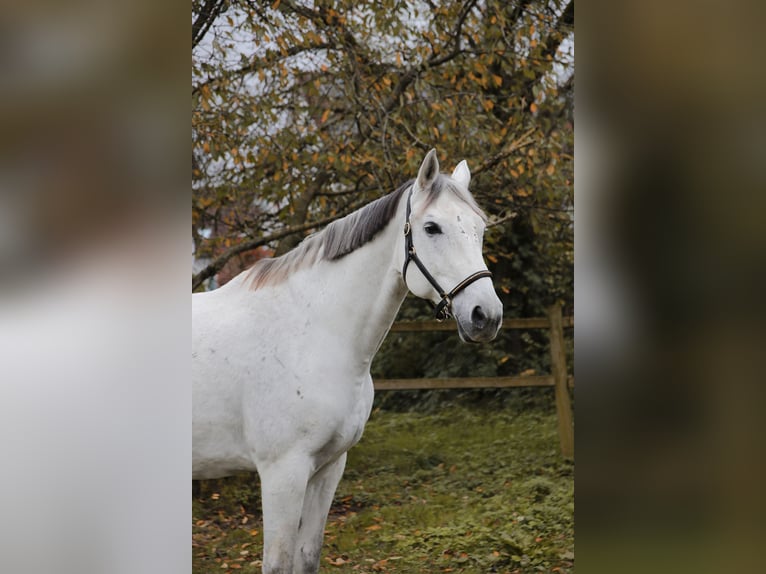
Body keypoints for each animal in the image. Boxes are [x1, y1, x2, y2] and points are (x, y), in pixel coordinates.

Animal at [192, 151, 504, 572]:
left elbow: (308, 556)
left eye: (479, 228)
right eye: (432, 228)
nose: (486, 315)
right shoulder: (282, 473)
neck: (312, 331)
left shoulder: (328, 468)